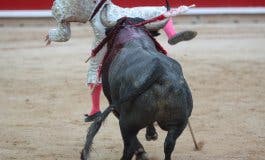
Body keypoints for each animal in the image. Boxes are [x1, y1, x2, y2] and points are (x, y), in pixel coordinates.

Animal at [80, 17, 192, 160]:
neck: (134, 35)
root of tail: (159, 71)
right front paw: (151, 134)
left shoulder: (114, 106)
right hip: (179, 123)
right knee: (169, 144)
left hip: (127, 123)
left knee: (129, 146)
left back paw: (138, 153)